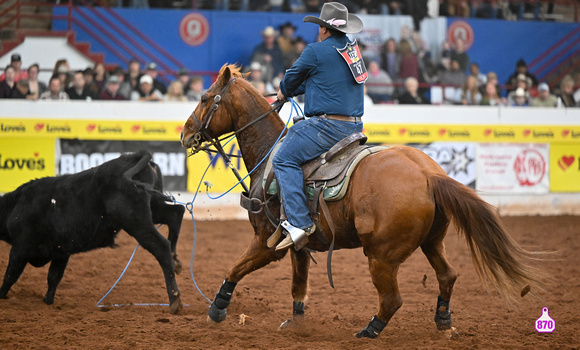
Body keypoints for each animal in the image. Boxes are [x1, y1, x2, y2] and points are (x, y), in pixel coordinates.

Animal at [180, 64, 544, 338]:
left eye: (205, 98)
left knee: (393, 299)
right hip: (431, 241)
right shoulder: (297, 244)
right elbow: (298, 285)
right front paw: (296, 323)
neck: (271, 154)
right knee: (448, 275)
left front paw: (217, 308)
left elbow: (235, 268)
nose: (184, 134)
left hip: (381, 254)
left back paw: (370, 330)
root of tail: (428, 174)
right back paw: (442, 321)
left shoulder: (266, 241)